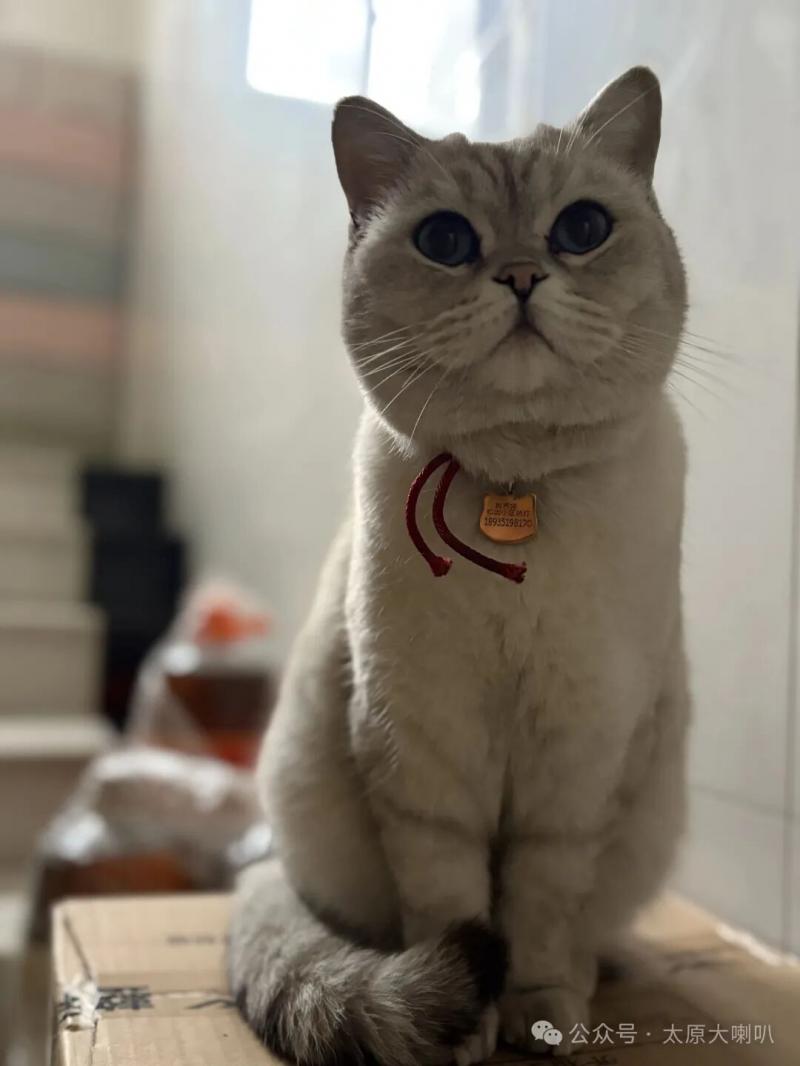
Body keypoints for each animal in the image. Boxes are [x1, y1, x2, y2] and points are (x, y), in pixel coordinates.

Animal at [230, 65, 689, 1065]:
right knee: (356, 934)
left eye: (581, 229)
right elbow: (453, 905)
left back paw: (598, 974)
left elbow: (541, 911)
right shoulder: (421, 748)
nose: (519, 276)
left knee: (589, 927)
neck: (515, 485)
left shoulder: (579, 756)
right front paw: (473, 1021)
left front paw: (542, 1011)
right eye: (446, 242)